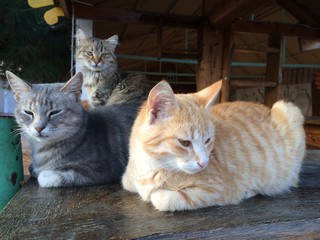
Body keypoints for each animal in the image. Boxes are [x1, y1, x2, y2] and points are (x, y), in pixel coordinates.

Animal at [6, 70, 140, 187]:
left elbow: (47, 177)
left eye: (54, 112)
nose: (39, 127)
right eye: (28, 112)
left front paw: (43, 174)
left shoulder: (100, 169)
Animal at [122, 79, 304, 211]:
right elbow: (128, 183)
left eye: (208, 140)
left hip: (289, 110)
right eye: (185, 142)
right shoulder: (128, 179)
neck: (149, 167)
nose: (204, 163)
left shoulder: (217, 190)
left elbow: (162, 199)